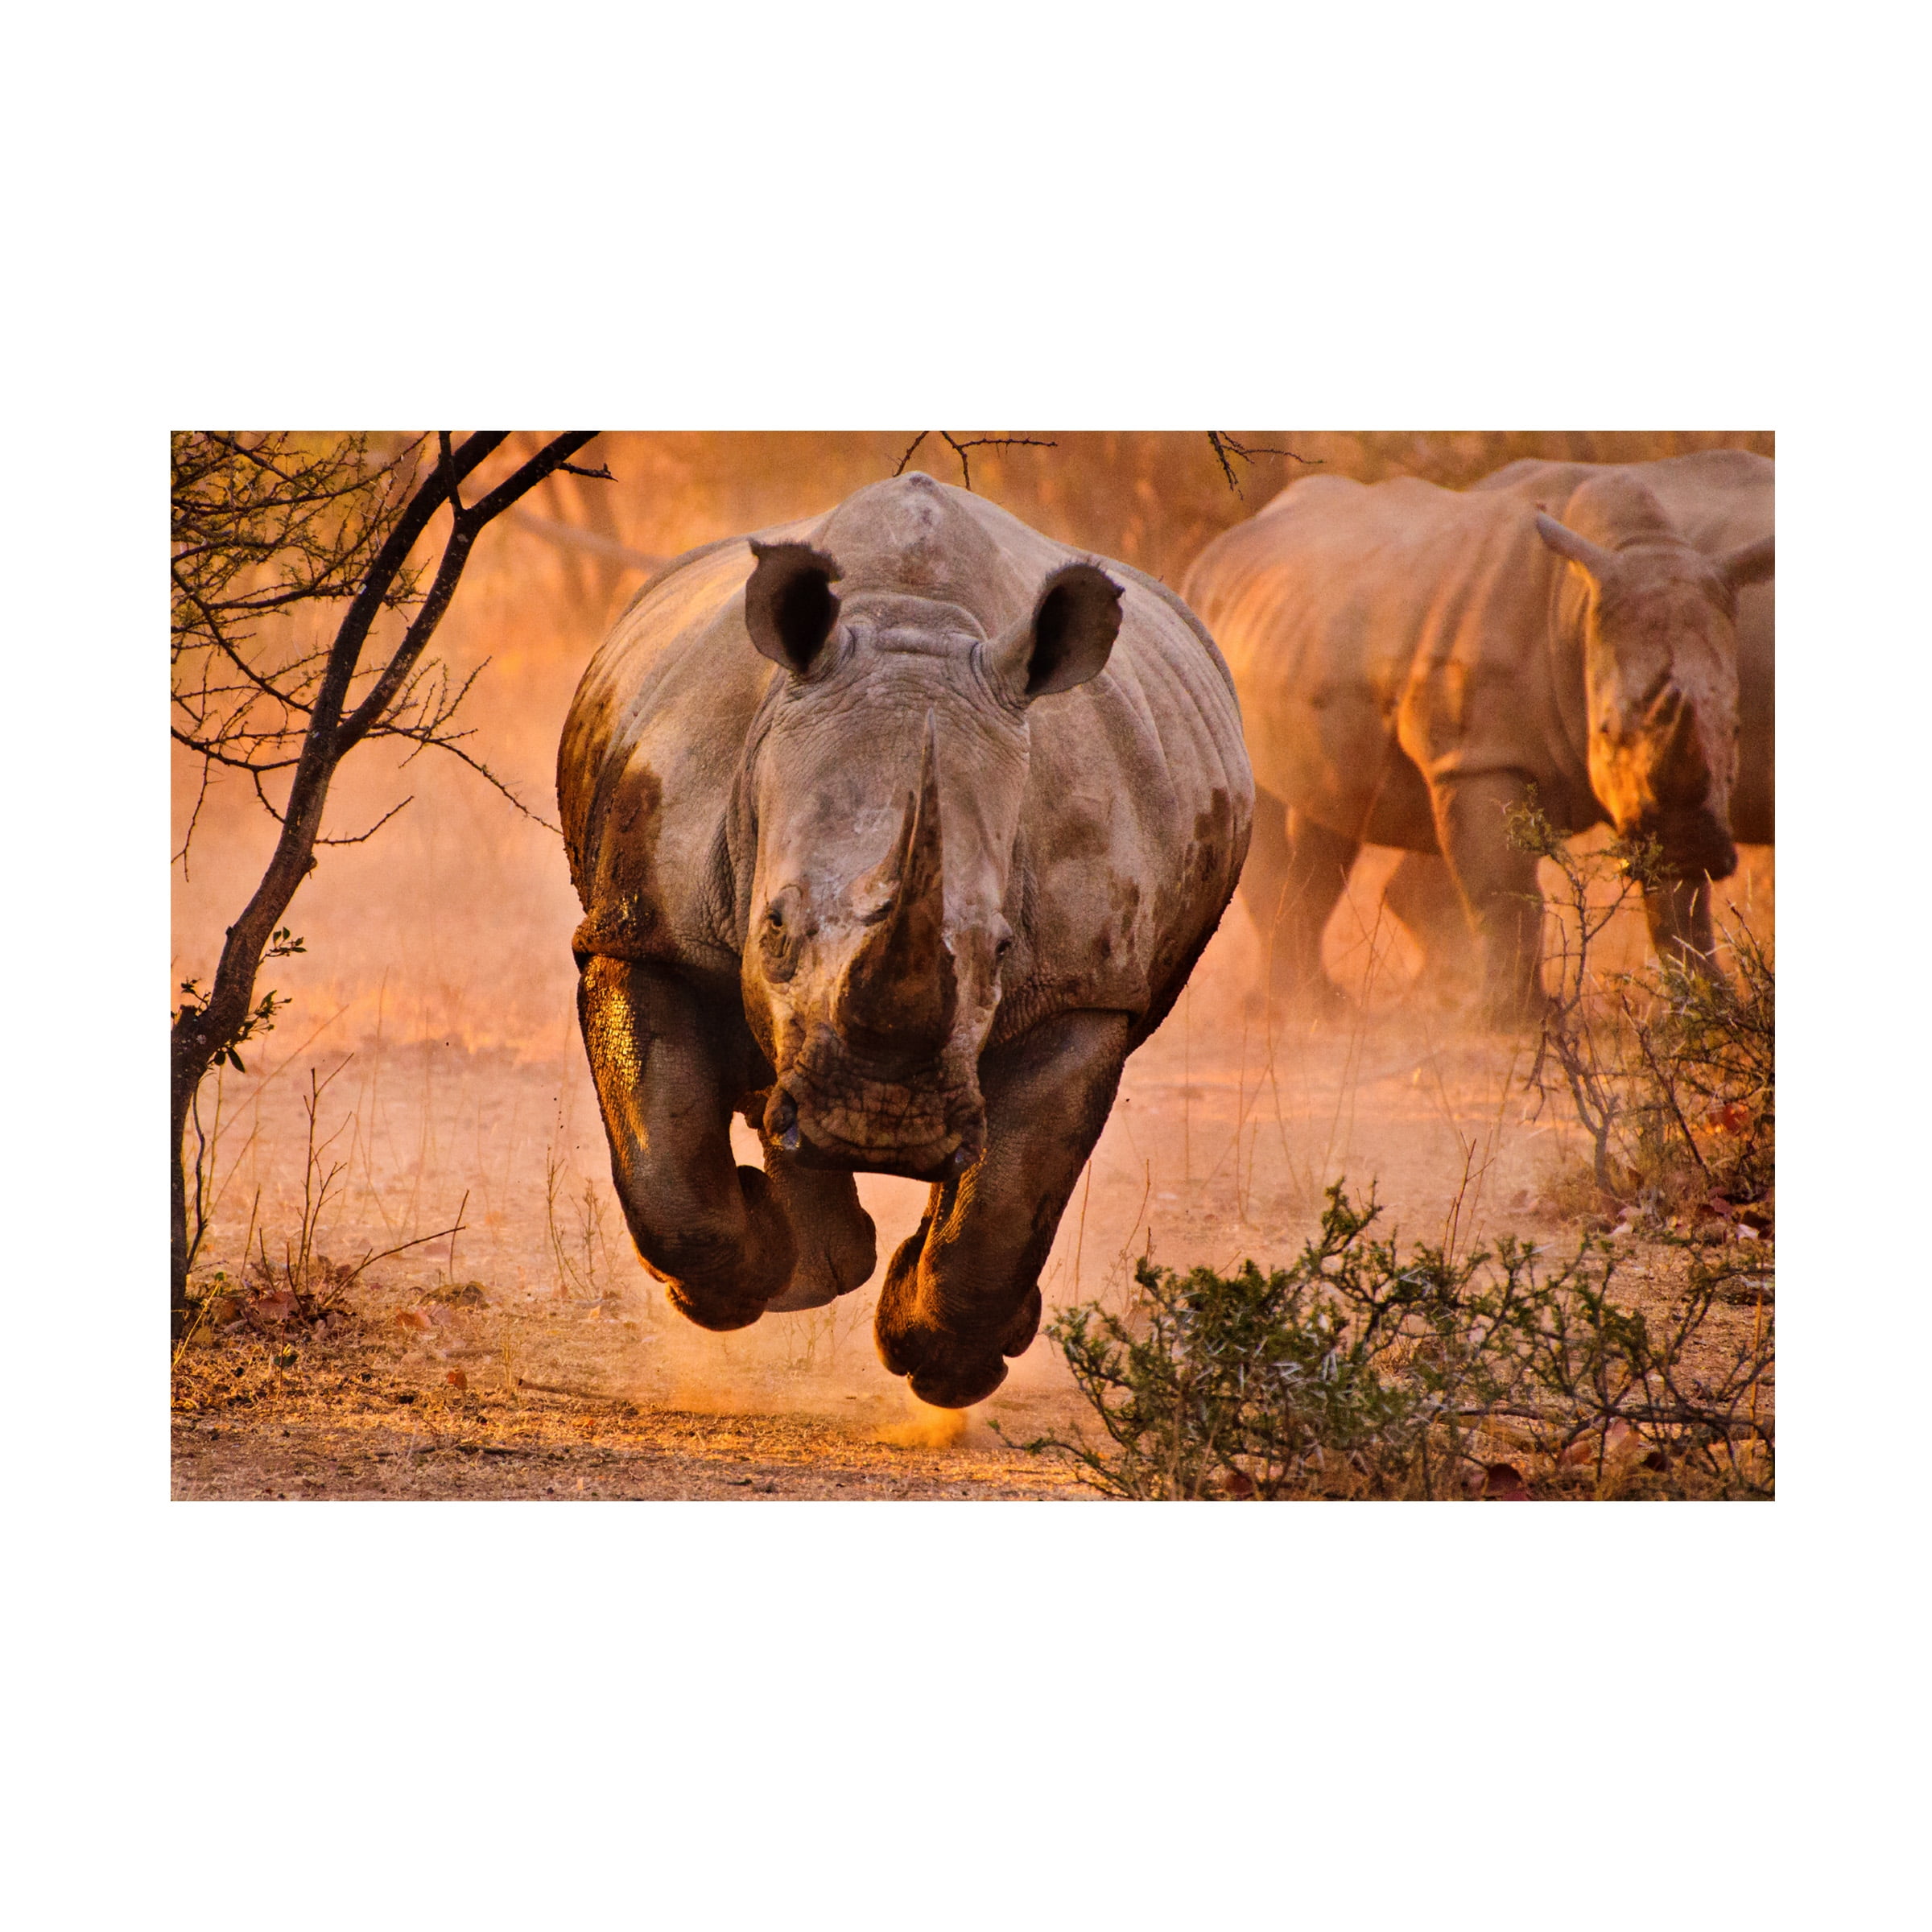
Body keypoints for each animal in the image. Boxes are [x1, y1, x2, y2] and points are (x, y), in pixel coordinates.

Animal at [559, 473, 1252, 1406]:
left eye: (1002, 950)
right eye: (773, 927)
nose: (881, 1124)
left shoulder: (1085, 988)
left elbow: (1006, 1203)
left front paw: (945, 1362)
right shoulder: (642, 926)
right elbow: (667, 1170)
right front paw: (743, 1278)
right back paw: (814, 1264)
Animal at [1181, 452, 1773, 1023]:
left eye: (1736, 730)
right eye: (1606, 729)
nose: (1695, 843)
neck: (1577, 610)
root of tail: (1219, 547)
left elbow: (1681, 904)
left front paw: (1713, 1011)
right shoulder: (1478, 756)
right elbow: (1503, 888)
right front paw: (1515, 1021)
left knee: (1327, 815)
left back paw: (1317, 1006)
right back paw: (1298, 1012)